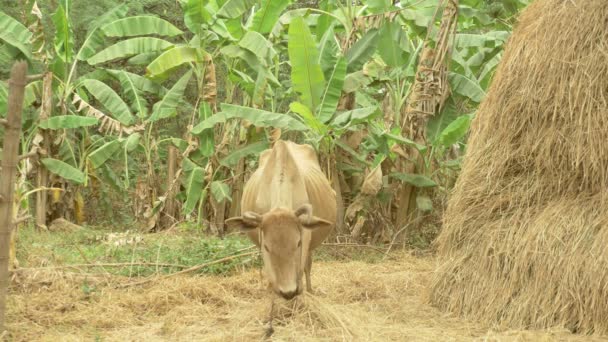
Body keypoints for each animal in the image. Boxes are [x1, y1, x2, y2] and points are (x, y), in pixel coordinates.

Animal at [226, 139, 338, 300]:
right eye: (267, 247)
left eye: (298, 243)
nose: (288, 292)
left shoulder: (305, 234)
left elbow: (302, 268)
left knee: (308, 265)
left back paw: (310, 289)